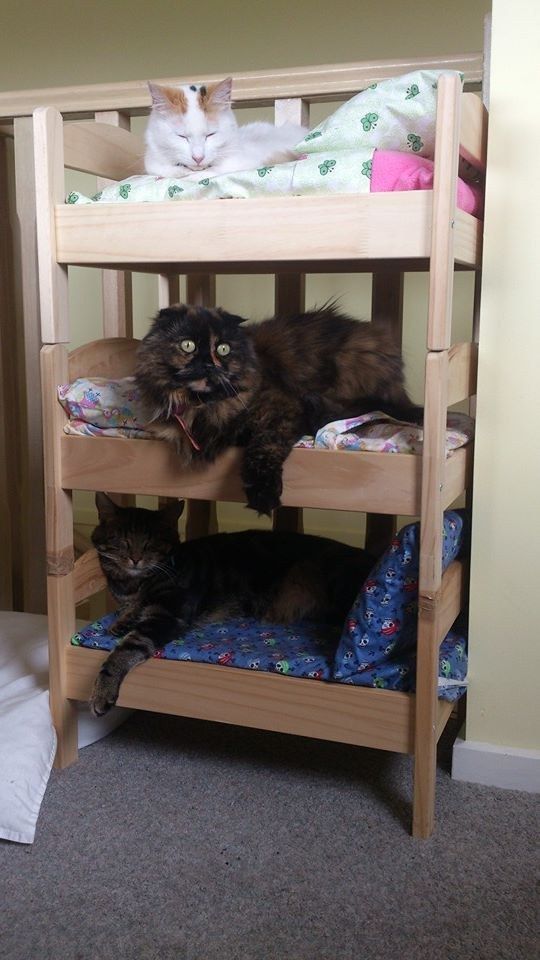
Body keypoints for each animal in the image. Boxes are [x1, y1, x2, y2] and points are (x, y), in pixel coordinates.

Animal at [89, 496, 376, 712]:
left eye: (150, 543)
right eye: (122, 540)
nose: (135, 559)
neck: (136, 582)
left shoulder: (167, 615)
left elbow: (126, 648)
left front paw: (103, 690)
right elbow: (129, 610)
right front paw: (121, 621)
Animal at [136, 306, 422, 516]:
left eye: (223, 349)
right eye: (188, 345)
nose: (210, 364)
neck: (203, 405)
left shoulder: (282, 408)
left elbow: (264, 447)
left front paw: (263, 493)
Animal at [143, 77, 308, 180]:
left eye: (210, 134)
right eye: (181, 136)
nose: (198, 158)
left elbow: (211, 172)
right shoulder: (152, 161)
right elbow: (166, 170)